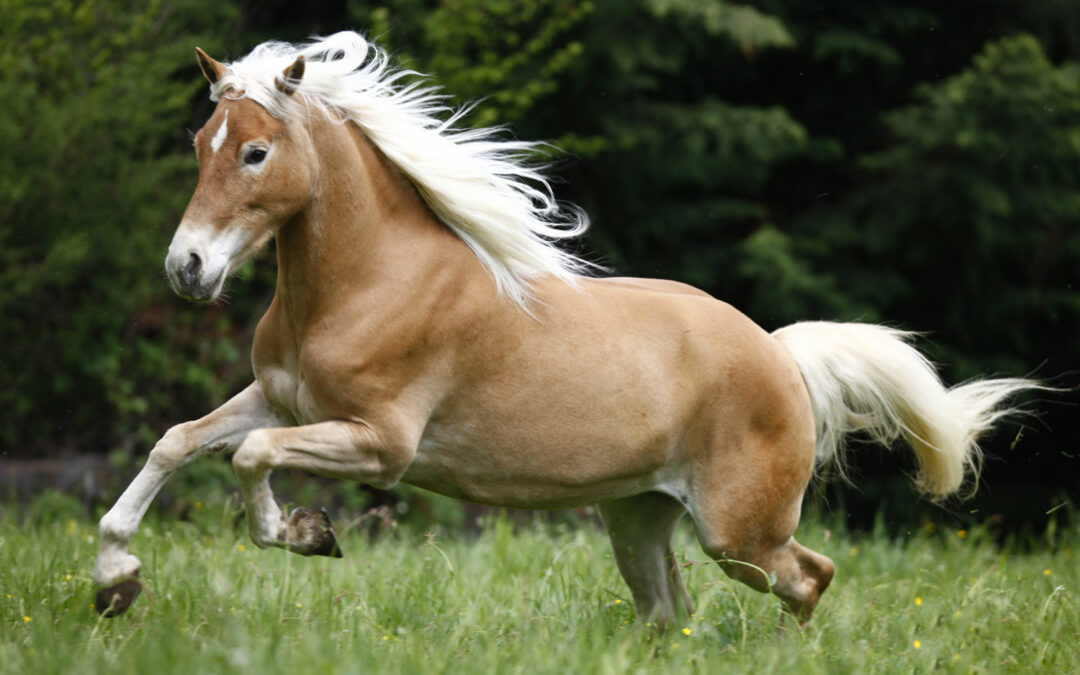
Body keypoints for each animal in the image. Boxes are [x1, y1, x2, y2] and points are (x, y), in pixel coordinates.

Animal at [92, 32, 1034, 627]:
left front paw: (304, 534)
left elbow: (247, 460)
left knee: (809, 578)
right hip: (638, 517)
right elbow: (179, 441)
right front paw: (115, 579)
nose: (187, 268)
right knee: (670, 612)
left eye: (255, 152)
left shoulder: (379, 441)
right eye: (201, 142)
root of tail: (779, 352)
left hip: (741, 532)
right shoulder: (280, 401)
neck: (366, 283)